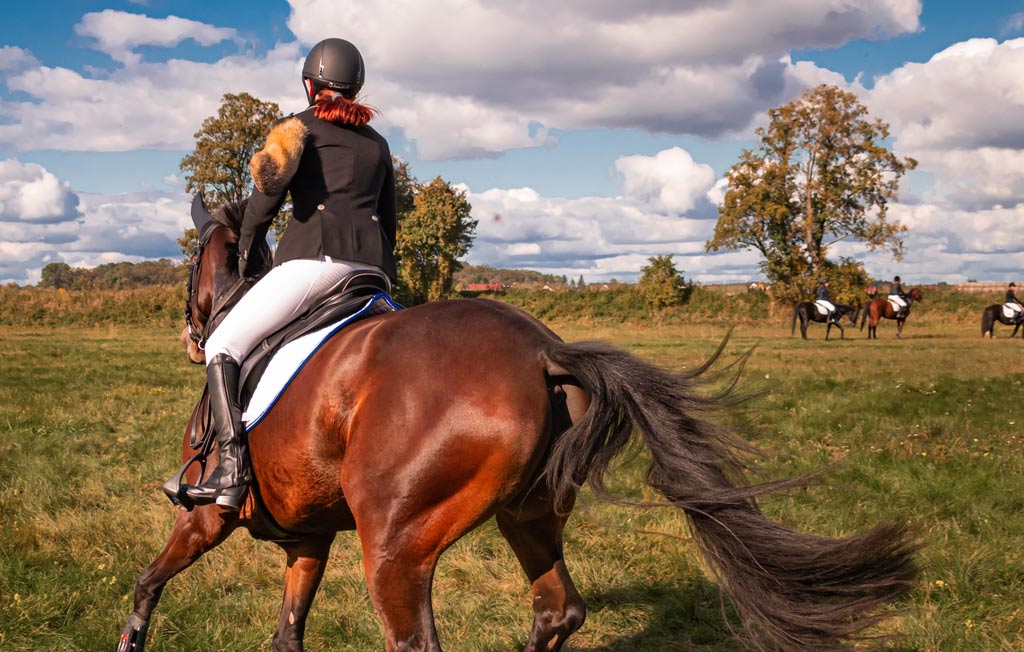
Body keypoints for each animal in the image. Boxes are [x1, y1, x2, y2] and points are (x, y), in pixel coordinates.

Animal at [116, 200, 917, 650]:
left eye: (190, 264)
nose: (190, 333)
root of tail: (542, 350)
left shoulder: (206, 518)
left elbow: (147, 582)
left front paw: (130, 639)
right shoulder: (308, 538)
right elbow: (287, 636)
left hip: (396, 546)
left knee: (416, 640)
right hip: (528, 515)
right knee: (559, 612)